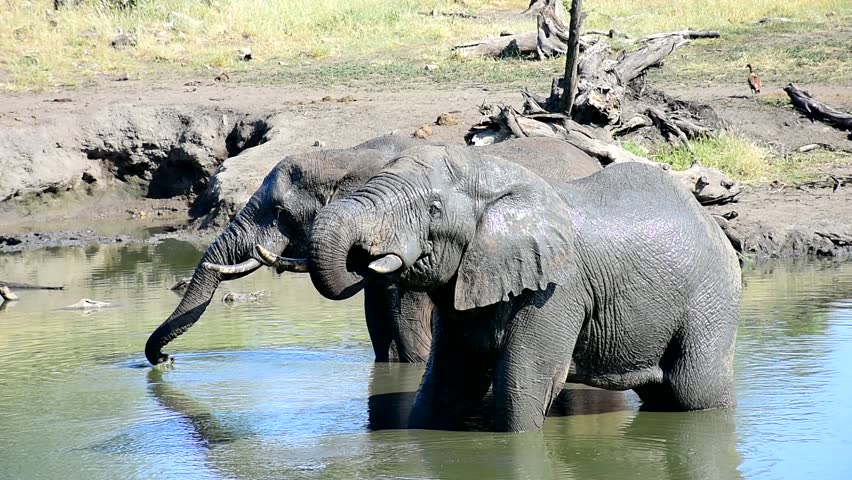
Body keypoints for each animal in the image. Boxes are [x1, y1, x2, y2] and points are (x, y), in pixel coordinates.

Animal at [310, 144, 744, 434]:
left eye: (433, 209)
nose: (364, 257)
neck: (491, 173)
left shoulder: (556, 290)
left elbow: (521, 383)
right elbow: (447, 382)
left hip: (711, 296)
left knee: (695, 390)